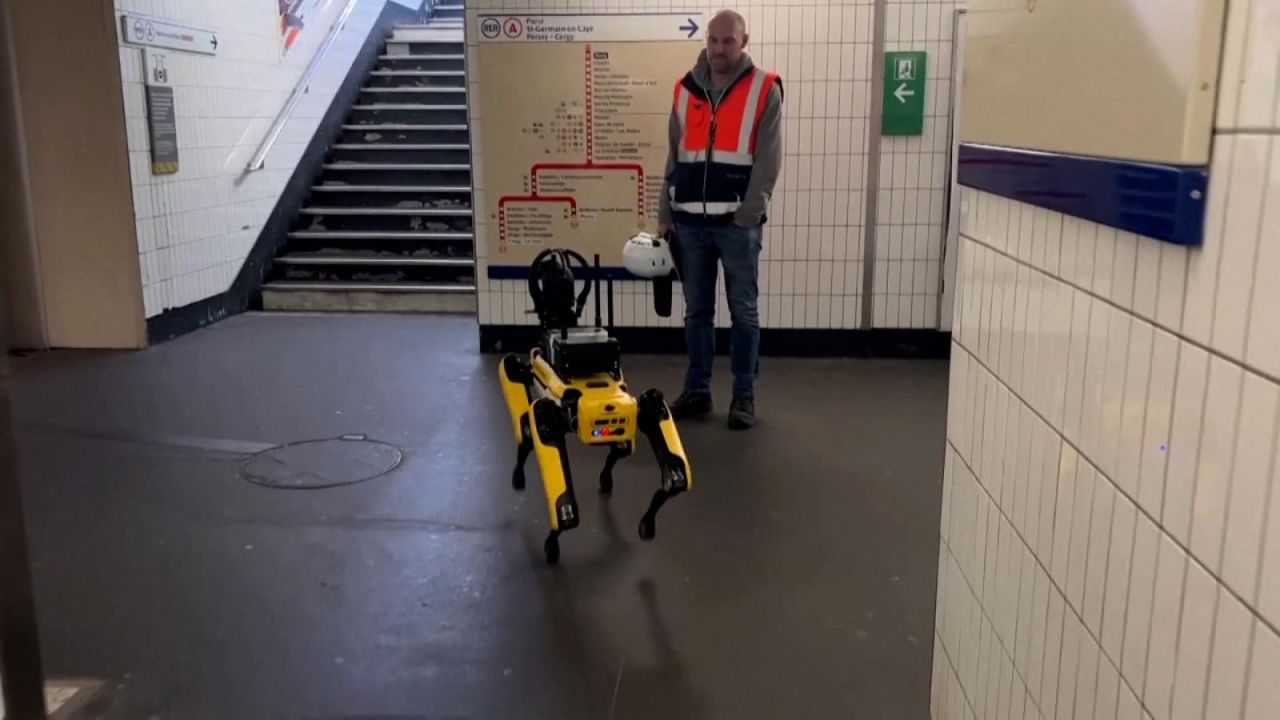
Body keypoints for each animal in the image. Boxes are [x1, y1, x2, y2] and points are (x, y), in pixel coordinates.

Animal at [499, 243, 696, 563]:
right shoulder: (550, 408)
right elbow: (539, 429)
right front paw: (554, 538)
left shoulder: (638, 408)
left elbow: (674, 478)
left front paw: (647, 521)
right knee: (523, 415)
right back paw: (519, 475)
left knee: (626, 443)